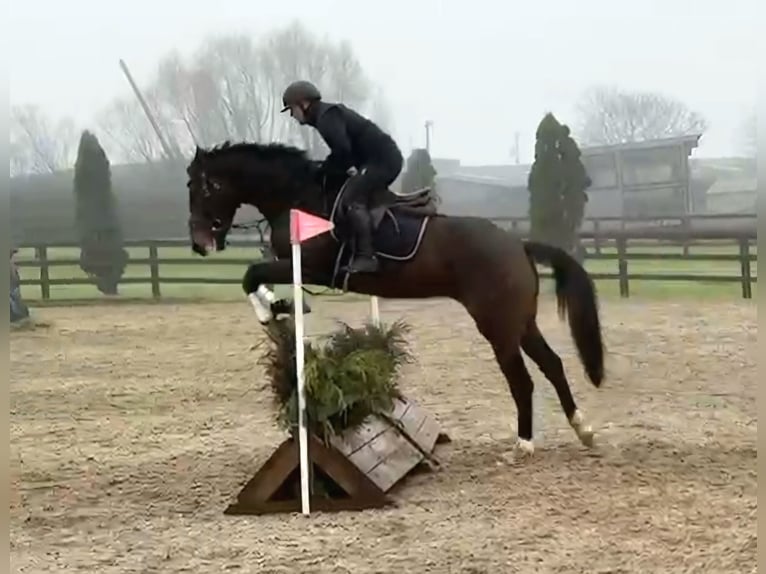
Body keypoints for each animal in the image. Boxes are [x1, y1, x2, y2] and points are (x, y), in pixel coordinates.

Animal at [186, 140, 606, 455]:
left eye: (203, 187)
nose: (199, 244)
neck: (297, 196)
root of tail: (518, 245)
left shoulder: (309, 266)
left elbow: (251, 275)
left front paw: (274, 308)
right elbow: (254, 275)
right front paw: (279, 306)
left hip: (497, 325)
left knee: (522, 379)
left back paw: (524, 444)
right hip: (521, 321)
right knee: (552, 365)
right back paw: (582, 428)